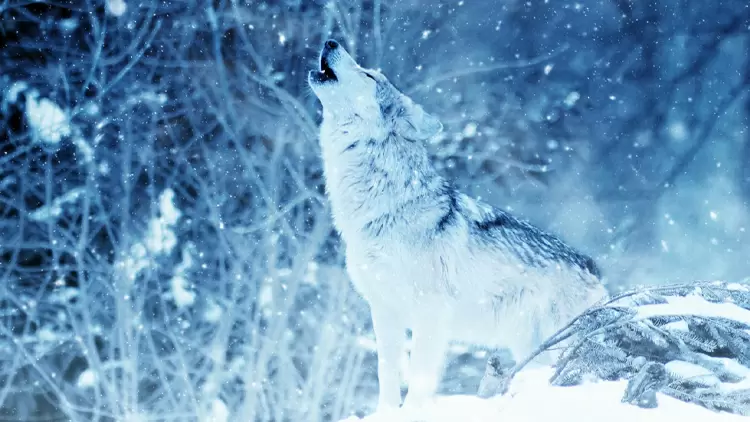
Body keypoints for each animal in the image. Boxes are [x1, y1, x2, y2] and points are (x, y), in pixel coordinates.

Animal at [308, 39, 607, 410]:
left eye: (369, 75)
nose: (331, 41)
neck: (386, 206)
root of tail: (594, 267)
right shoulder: (384, 311)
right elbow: (386, 373)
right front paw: (386, 412)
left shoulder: (430, 312)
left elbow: (420, 379)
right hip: (530, 347)